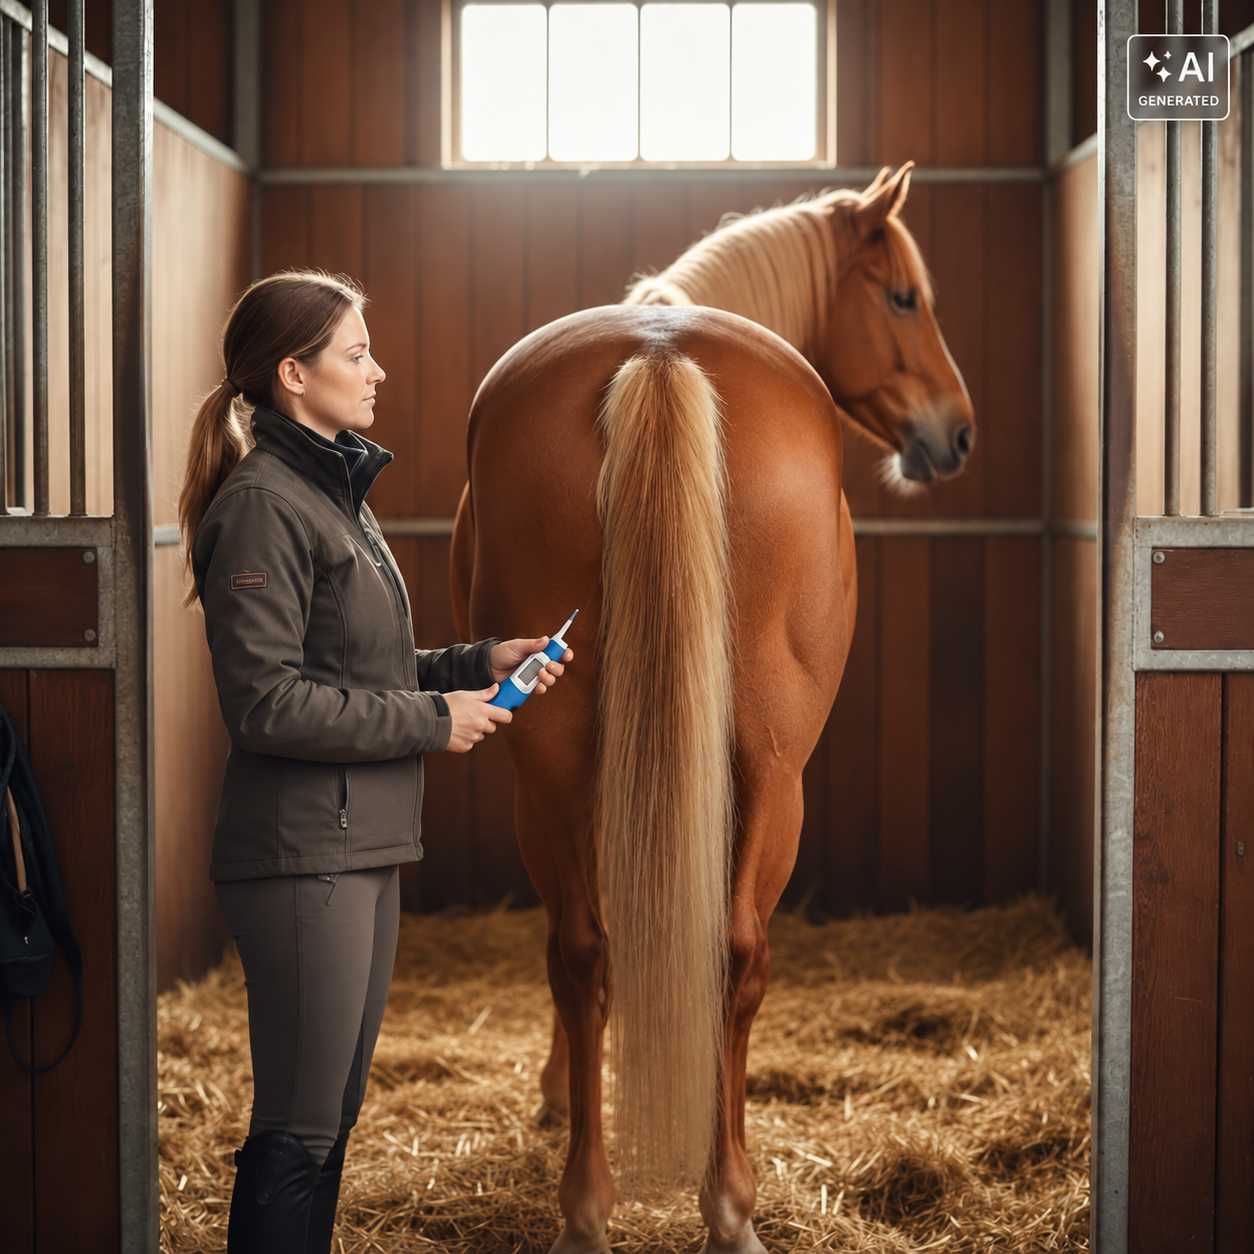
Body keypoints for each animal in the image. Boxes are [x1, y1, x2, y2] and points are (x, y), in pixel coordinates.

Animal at [449, 163, 974, 1253]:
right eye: (904, 297)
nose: (957, 431)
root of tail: (660, 358)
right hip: (772, 768)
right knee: (722, 953)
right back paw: (724, 1204)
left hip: (562, 760)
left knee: (596, 952)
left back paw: (597, 1207)